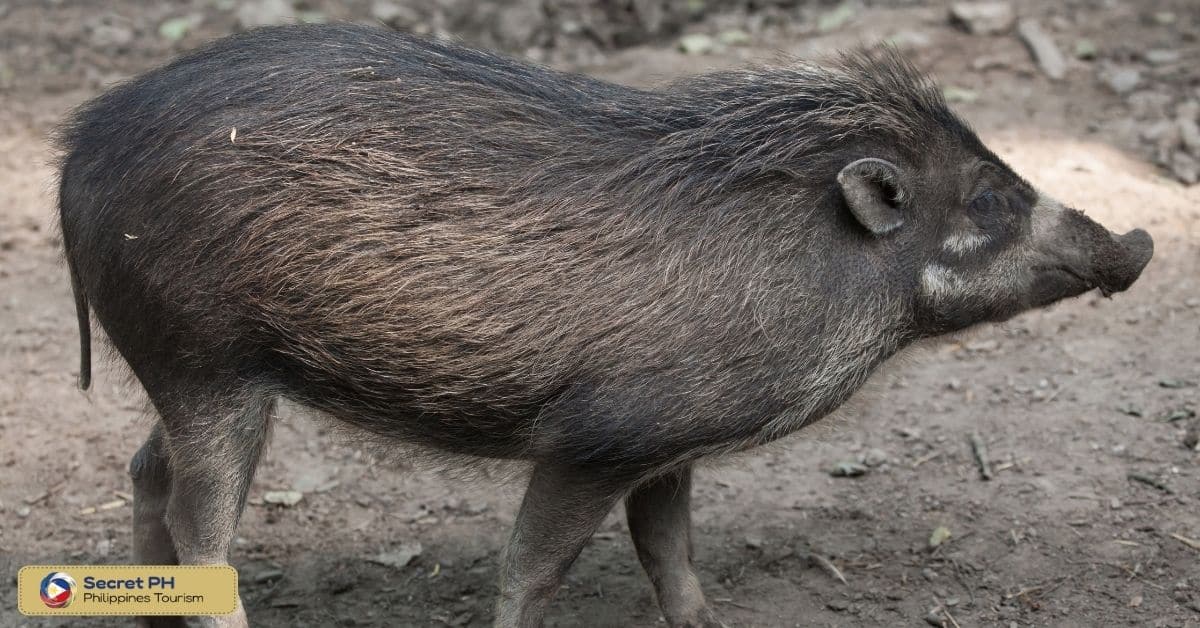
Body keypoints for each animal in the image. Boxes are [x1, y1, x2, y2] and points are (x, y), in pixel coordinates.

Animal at [55, 24, 1152, 628]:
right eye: (990, 202)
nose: (1139, 241)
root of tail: (77, 151)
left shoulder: (673, 445)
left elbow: (670, 547)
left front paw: (708, 625)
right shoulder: (598, 438)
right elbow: (534, 570)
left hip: (185, 367)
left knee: (145, 472)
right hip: (206, 362)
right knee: (201, 525)